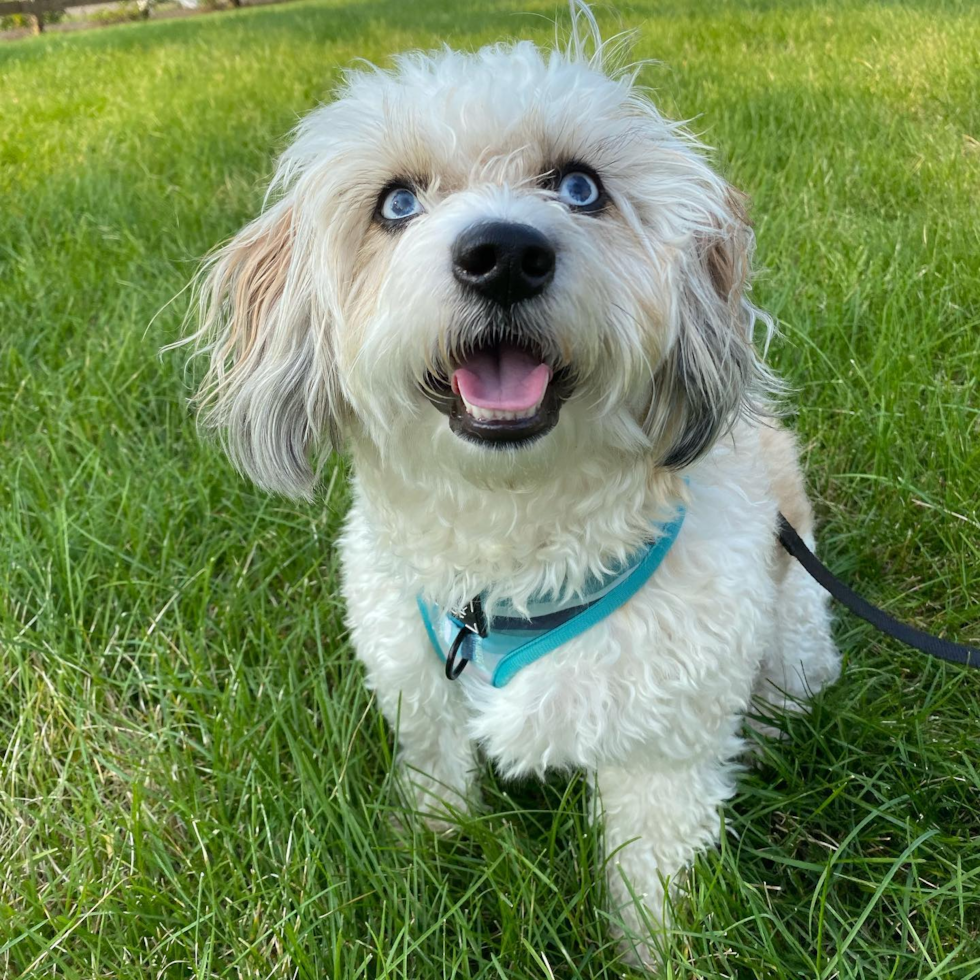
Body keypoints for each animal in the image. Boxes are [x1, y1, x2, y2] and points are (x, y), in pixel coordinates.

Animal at [182, 5, 844, 964]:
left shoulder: (663, 748)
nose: (503, 254)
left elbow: (654, 873)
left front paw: (656, 953)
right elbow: (437, 785)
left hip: (792, 631)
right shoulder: (422, 690)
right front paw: (424, 860)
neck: (508, 544)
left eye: (579, 187)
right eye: (397, 203)